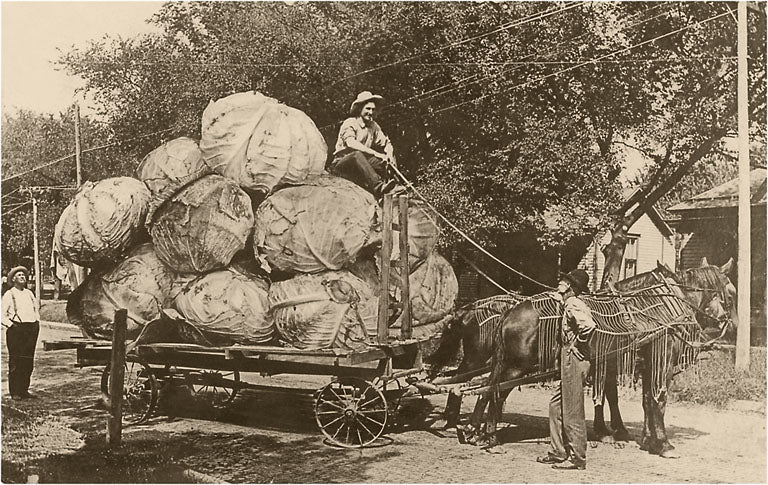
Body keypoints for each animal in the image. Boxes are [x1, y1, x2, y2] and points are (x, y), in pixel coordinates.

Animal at [457, 260, 736, 455]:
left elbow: (644, 400)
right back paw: (487, 434)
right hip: (516, 367)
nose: (729, 324)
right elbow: (657, 400)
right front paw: (663, 444)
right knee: (494, 392)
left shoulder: (640, 364)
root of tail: (510, 311)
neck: (657, 311)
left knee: (486, 389)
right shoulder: (660, 363)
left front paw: (646, 440)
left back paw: (476, 430)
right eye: (731, 294)